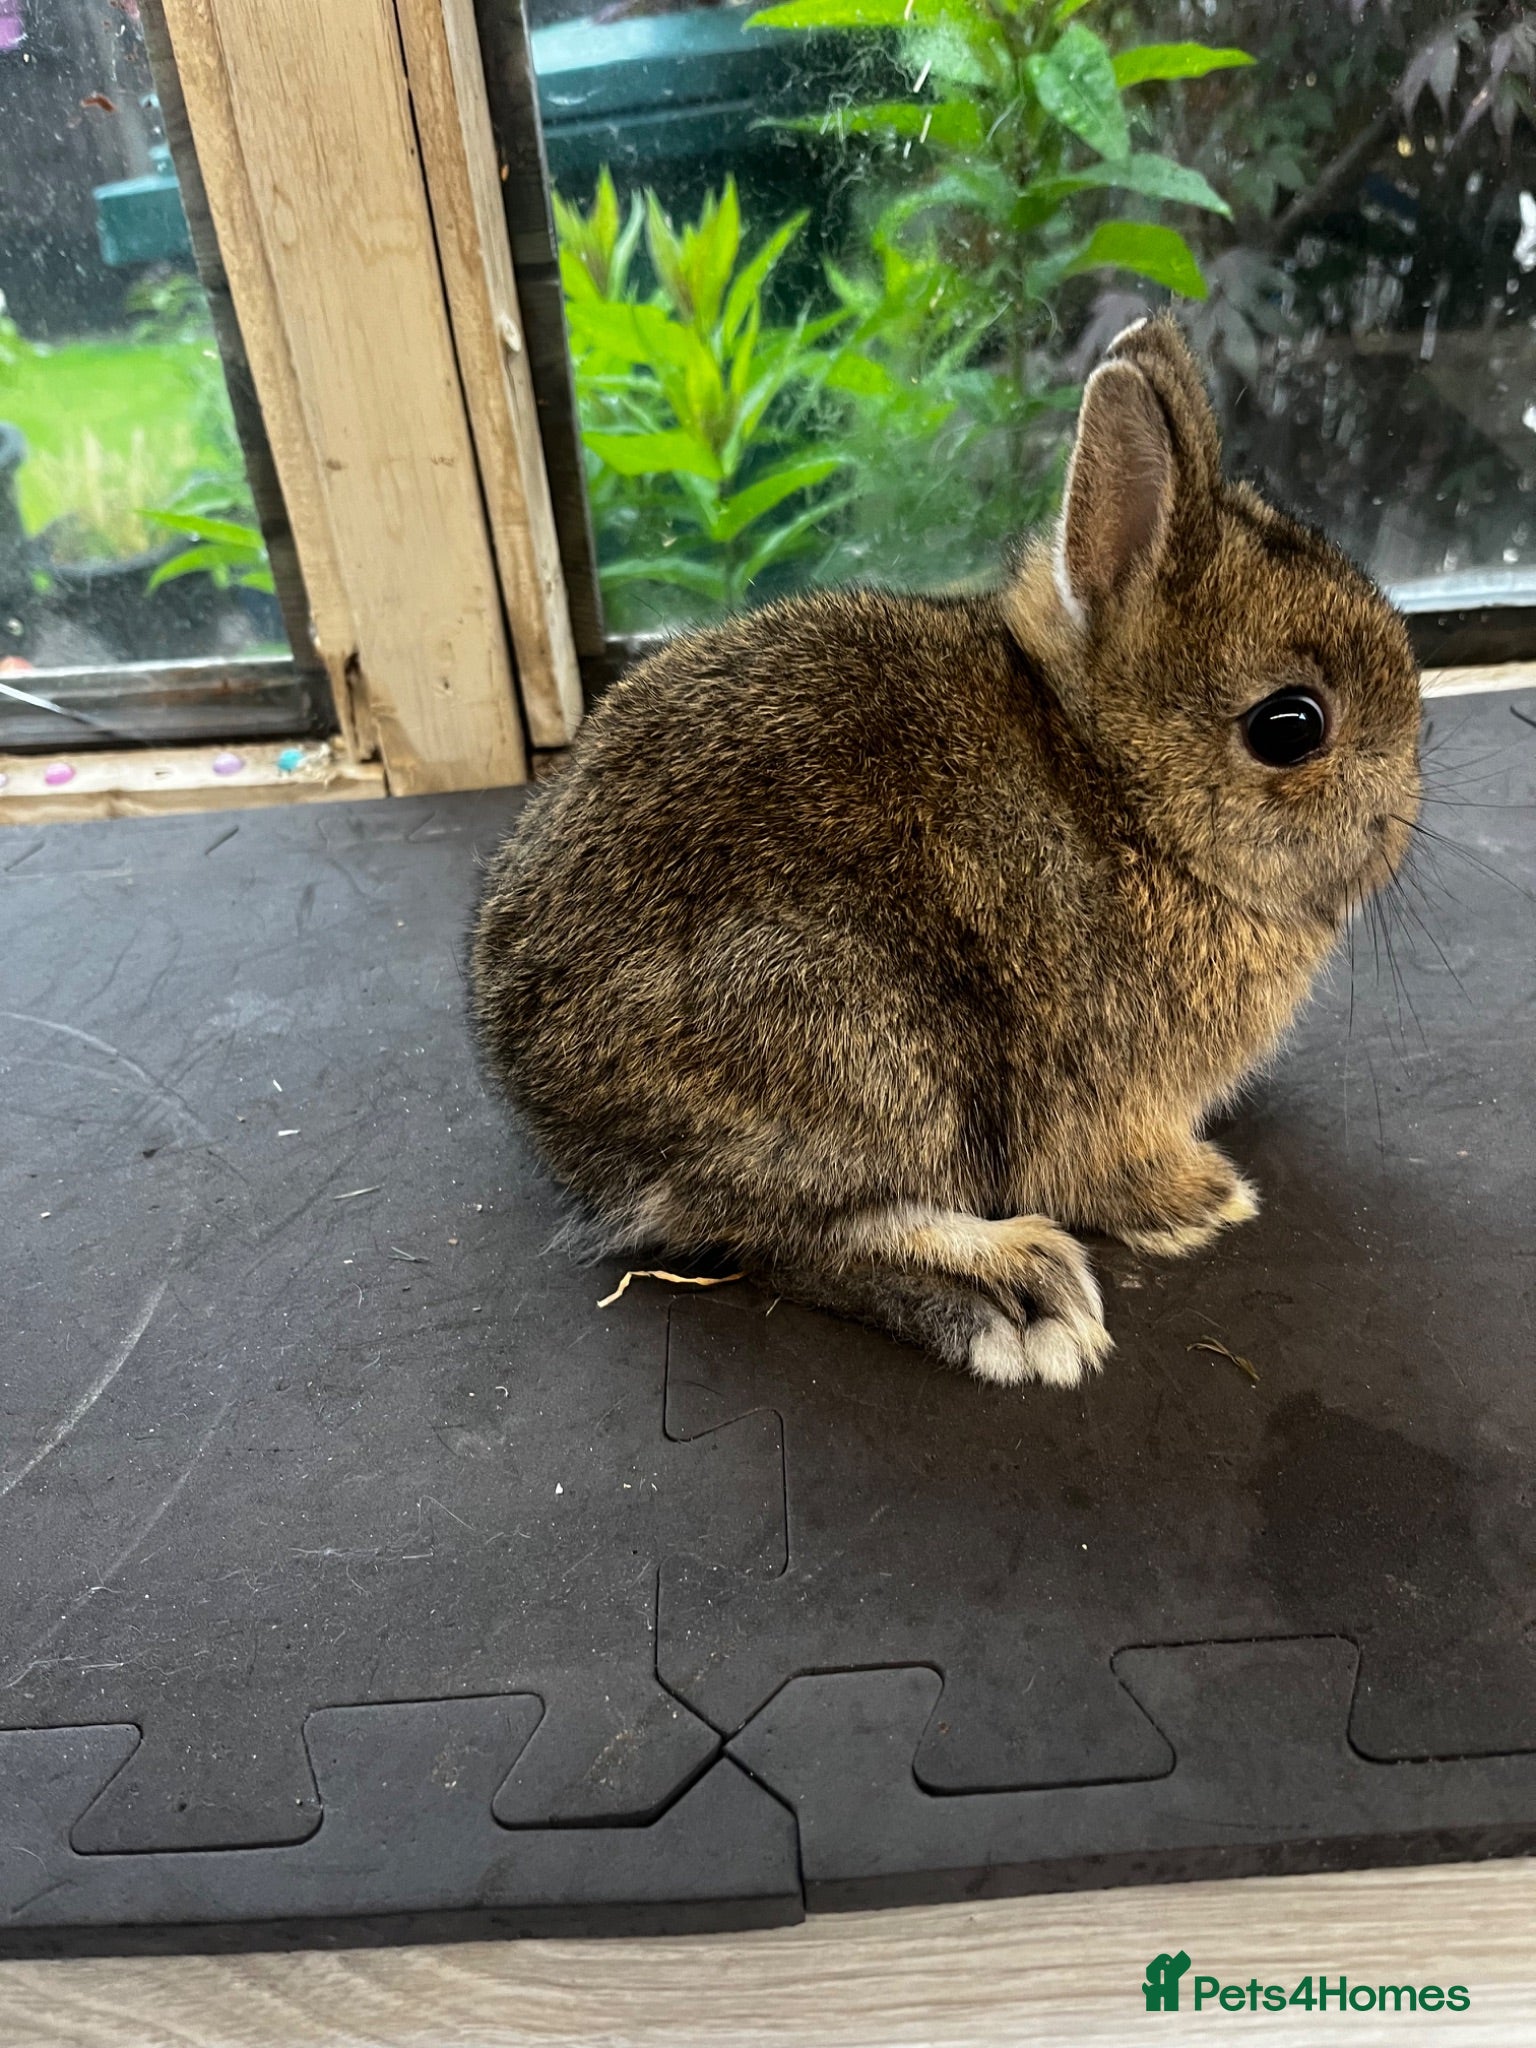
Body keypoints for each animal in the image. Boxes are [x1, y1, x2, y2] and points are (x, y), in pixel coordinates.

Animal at [471, 316, 1422, 1390]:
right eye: (1290, 726)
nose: (1401, 820)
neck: (1119, 792)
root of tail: (543, 1091)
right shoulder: (1100, 1094)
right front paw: (1204, 1199)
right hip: (864, 1040)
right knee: (779, 1232)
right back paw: (1015, 1294)